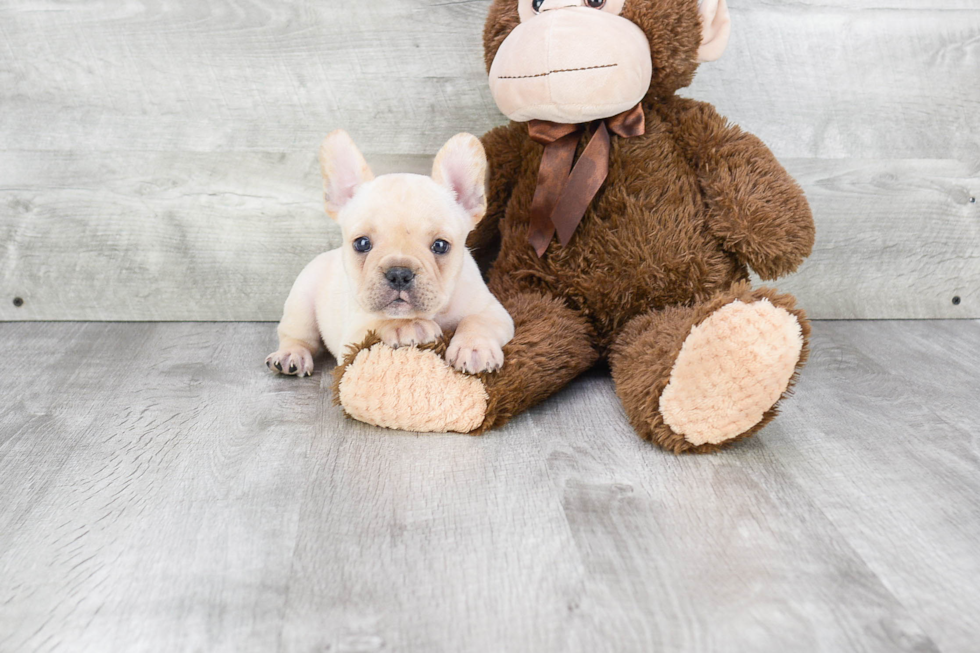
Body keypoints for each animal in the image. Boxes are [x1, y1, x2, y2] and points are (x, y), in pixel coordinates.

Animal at [264, 129, 516, 376]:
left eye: (440, 246)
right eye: (362, 243)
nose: (399, 273)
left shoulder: (493, 311)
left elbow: (478, 321)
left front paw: (474, 348)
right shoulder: (352, 337)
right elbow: (377, 323)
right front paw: (407, 325)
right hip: (301, 303)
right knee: (296, 336)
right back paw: (290, 356)